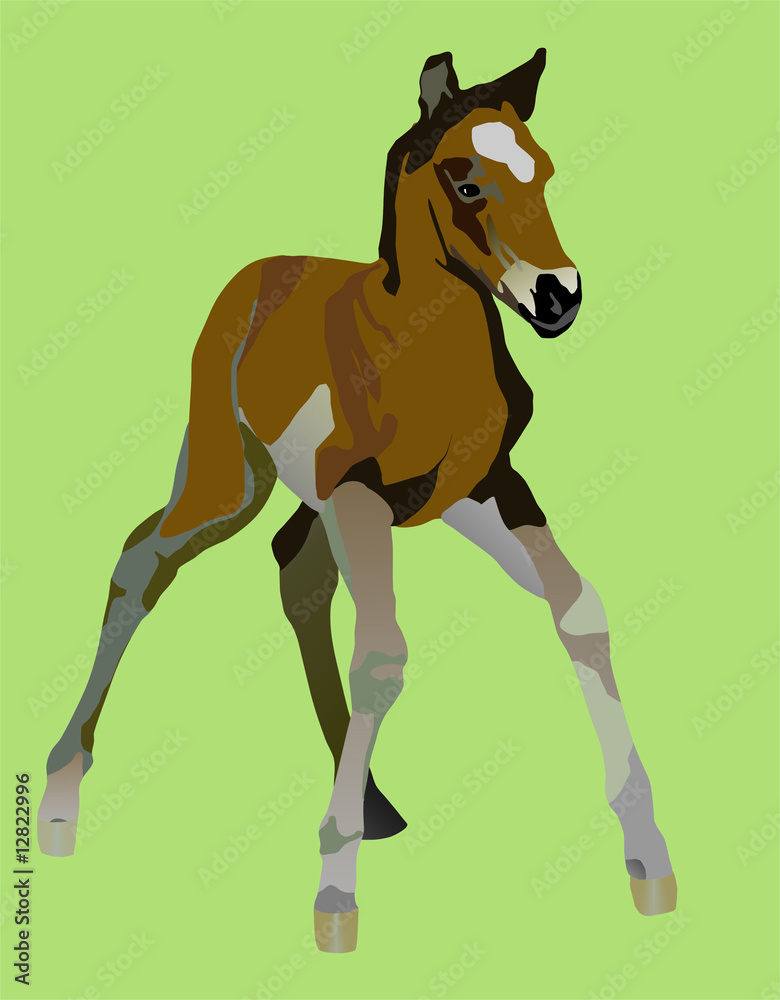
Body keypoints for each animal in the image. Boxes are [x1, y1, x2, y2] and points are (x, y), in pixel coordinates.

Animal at [38, 48, 677, 953]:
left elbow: (578, 614)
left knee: (294, 569)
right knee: (144, 560)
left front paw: (651, 861)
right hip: (231, 479)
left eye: (544, 169)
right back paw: (62, 797)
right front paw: (334, 898)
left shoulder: (486, 487)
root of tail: (260, 274)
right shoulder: (359, 495)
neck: (420, 345)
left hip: (305, 498)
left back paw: (372, 800)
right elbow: (381, 657)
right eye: (465, 180)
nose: (558, 296)